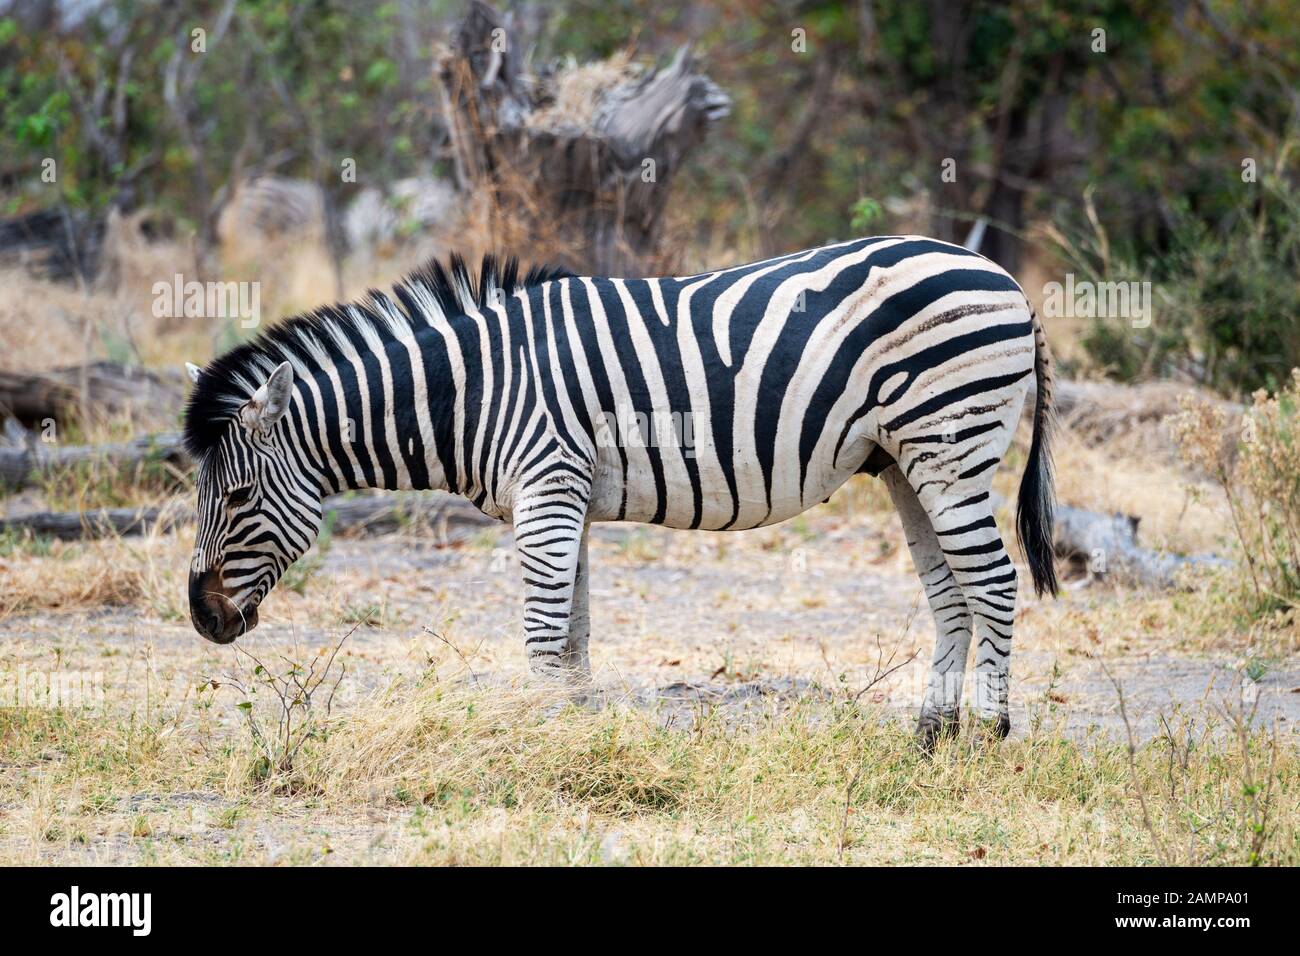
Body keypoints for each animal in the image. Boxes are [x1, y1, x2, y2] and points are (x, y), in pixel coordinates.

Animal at [183, 238, 1055, 749]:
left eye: (237, 498)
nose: (201, 619)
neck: (470, 393)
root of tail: (1006, 280)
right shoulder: (565, 496)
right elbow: (573, 632)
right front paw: (573, 730)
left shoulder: (547, 486)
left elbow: (543, 633)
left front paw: (539, 744)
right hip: (907, 460)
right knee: (950, 591)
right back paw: (931, 733)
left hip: (951, 442)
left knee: (994, 583)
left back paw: (988, 734)